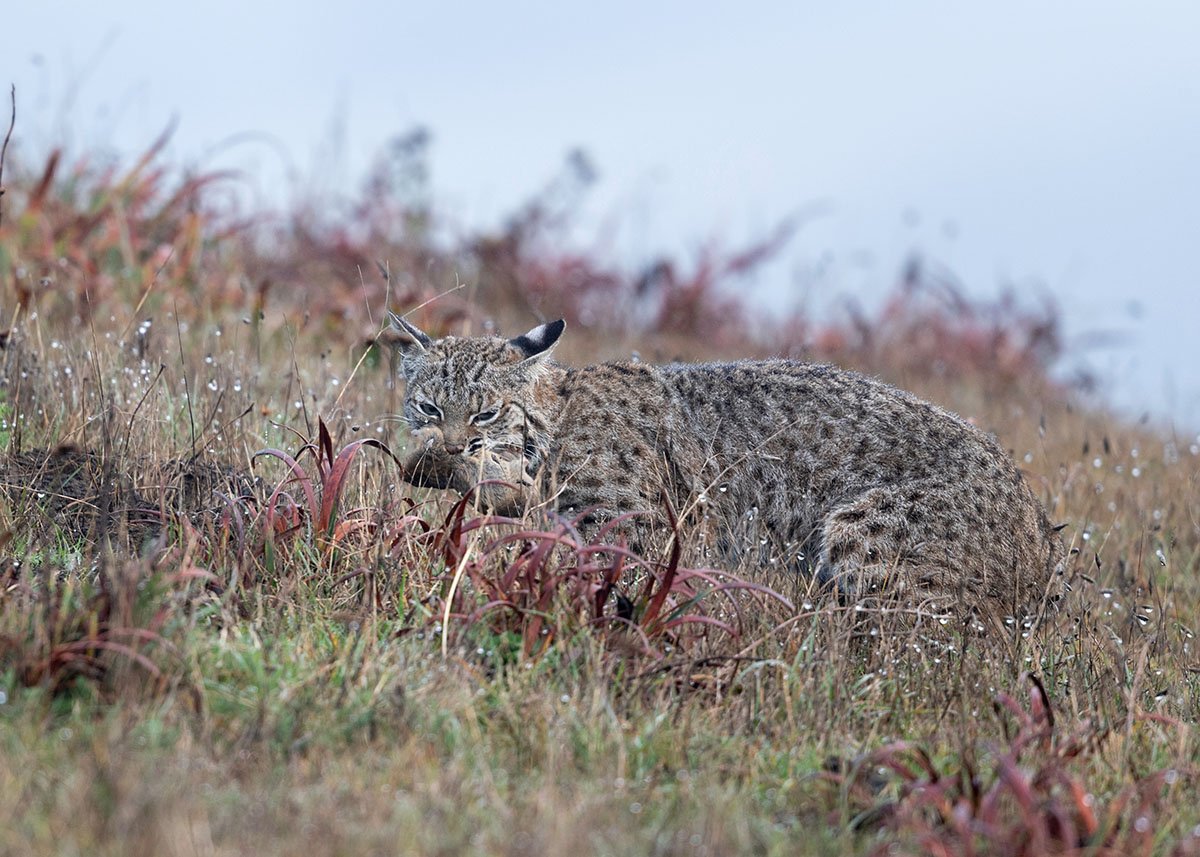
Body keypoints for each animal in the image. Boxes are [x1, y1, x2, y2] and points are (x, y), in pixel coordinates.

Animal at [388, 314, 1065, 614]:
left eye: (485, 414)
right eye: (429, 405)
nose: (451, 448)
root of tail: (1039, 530)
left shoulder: (651, 533)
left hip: (865, 537)